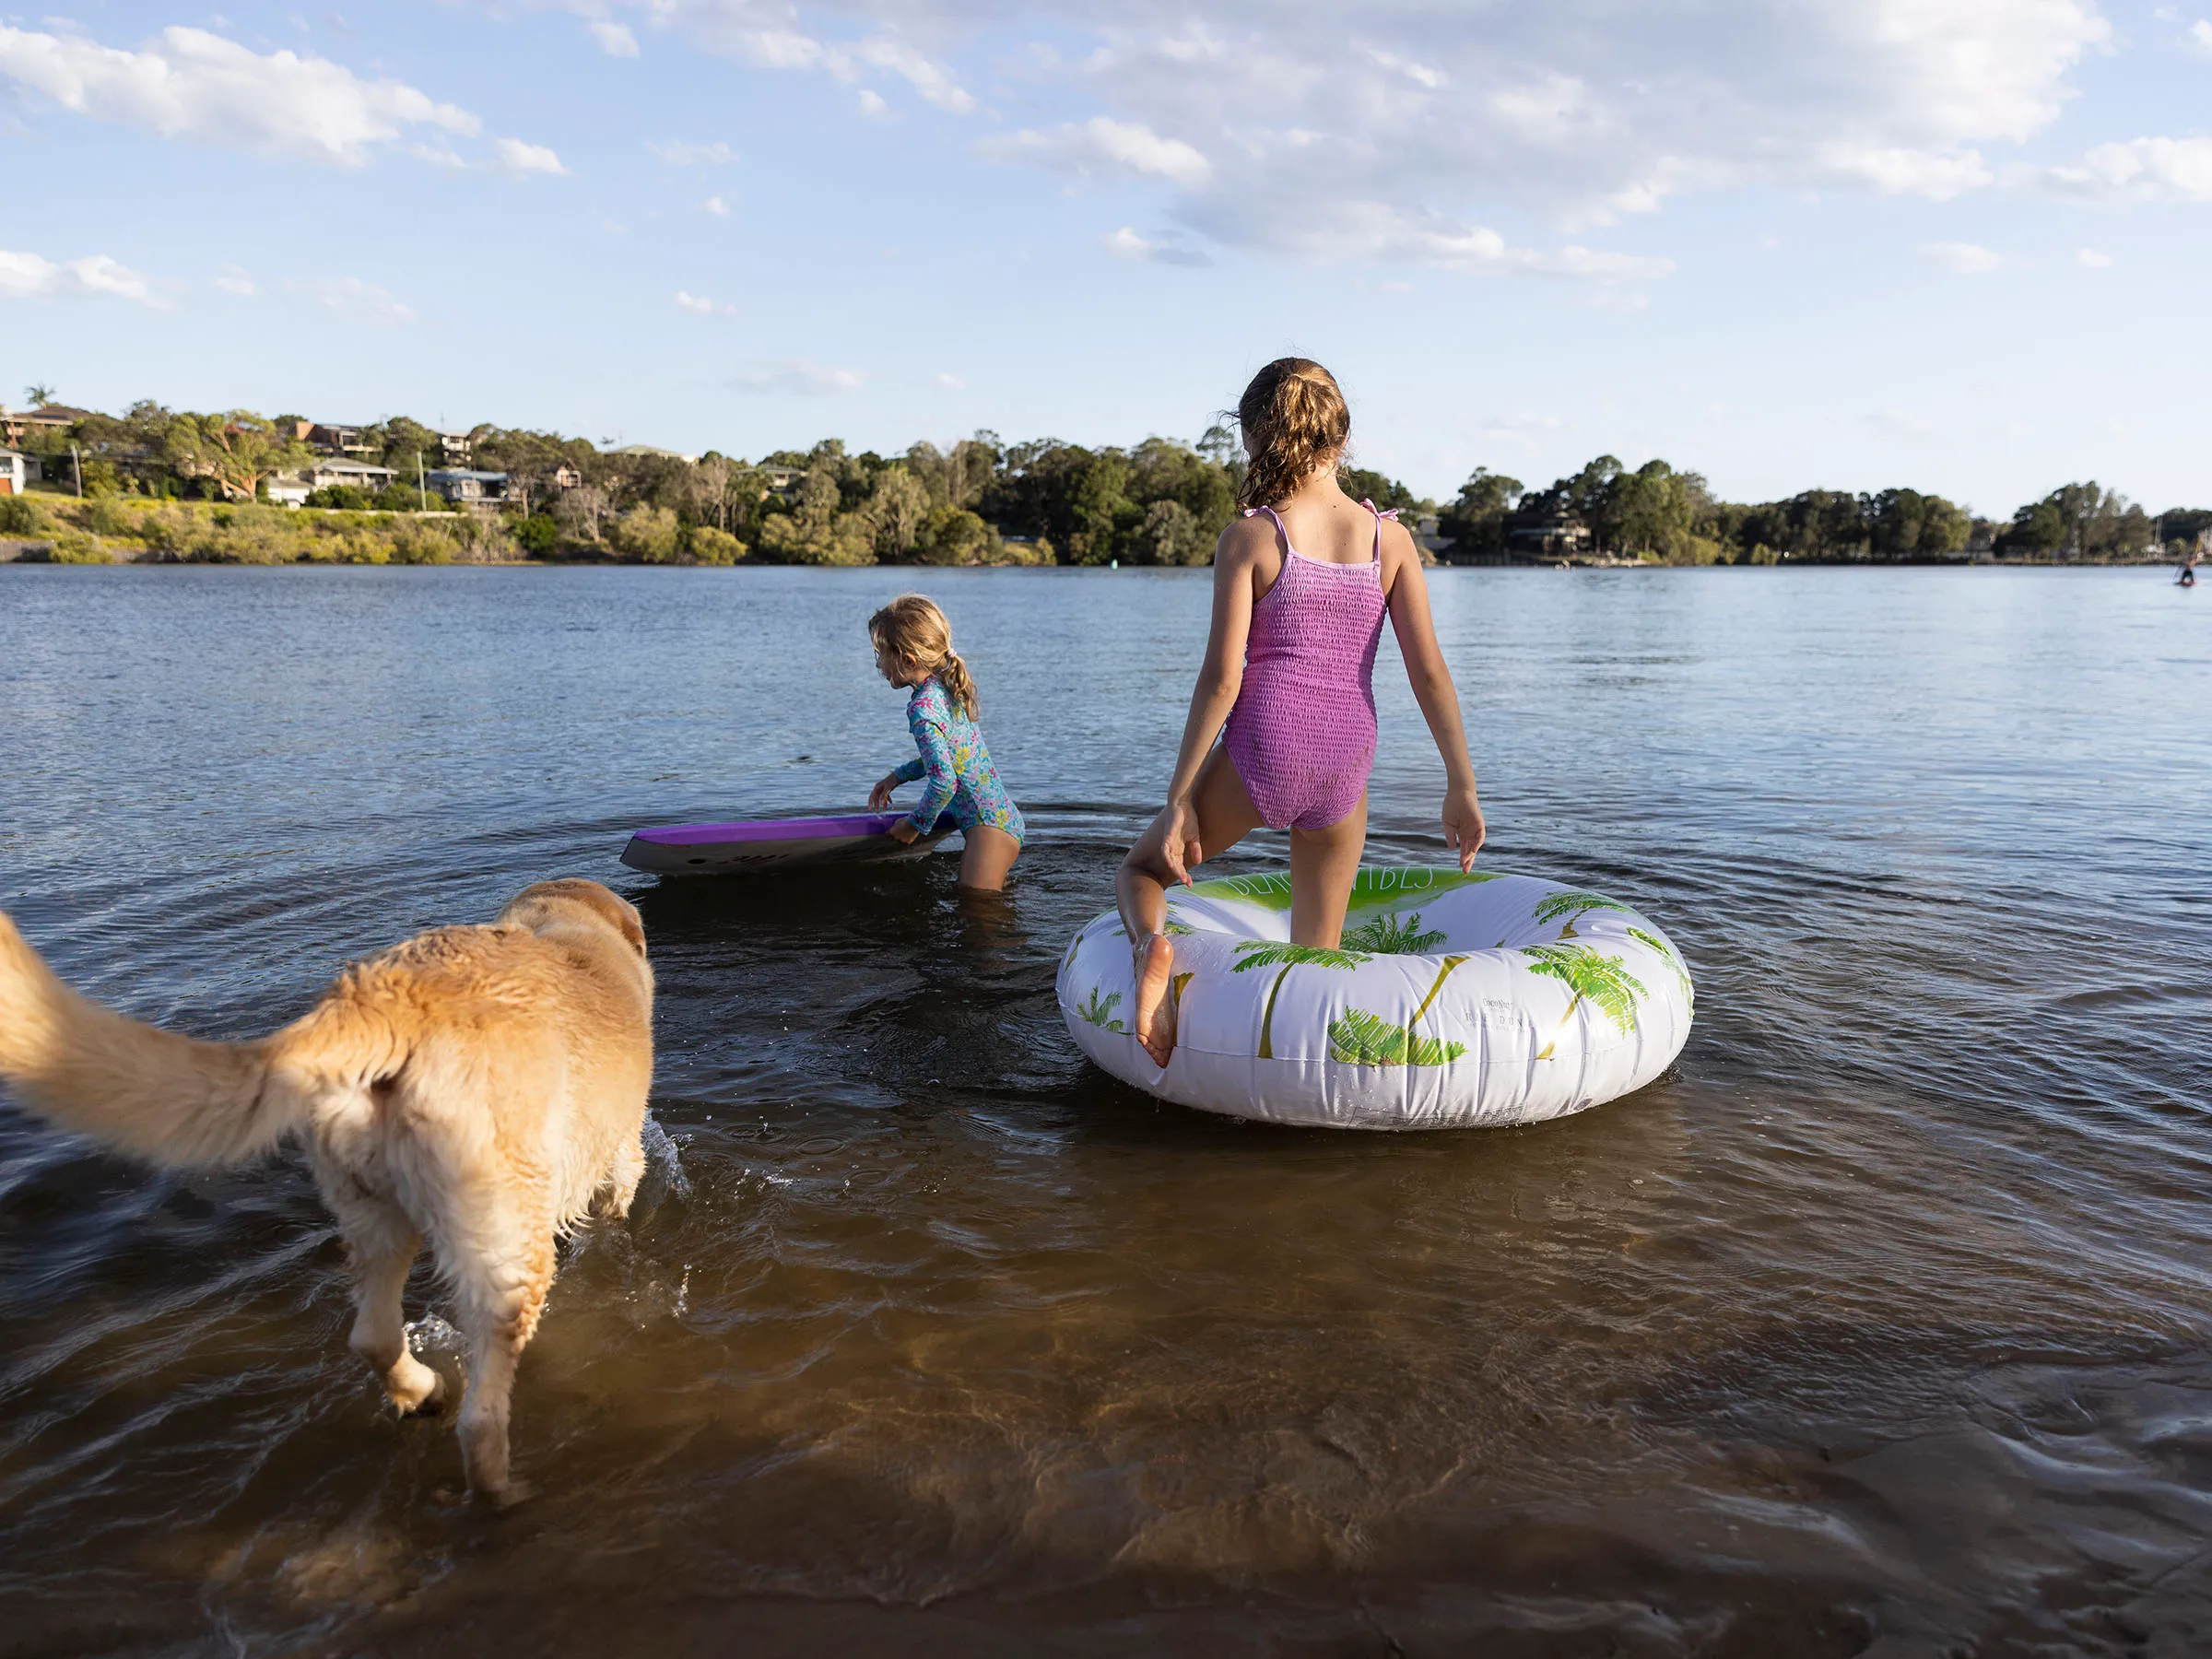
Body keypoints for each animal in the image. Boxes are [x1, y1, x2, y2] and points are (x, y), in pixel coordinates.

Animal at [0, 885, 650, 1504]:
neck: (565, 917)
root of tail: (380, 998)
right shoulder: (620, 1147)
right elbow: (618, 1192)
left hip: (371, 1213)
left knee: (372, 1337)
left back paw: (424, 1393)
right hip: (501, 1243)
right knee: (481, 1417)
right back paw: (502, 1491)